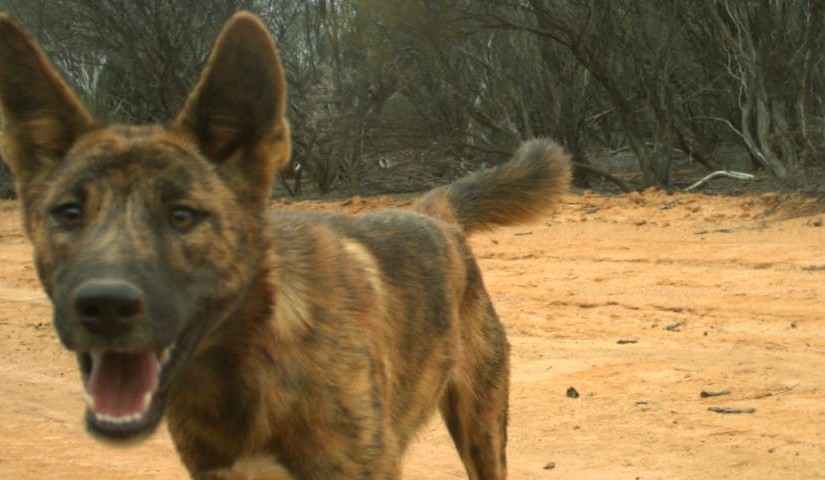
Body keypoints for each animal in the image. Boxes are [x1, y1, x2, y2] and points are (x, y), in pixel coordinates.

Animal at [0, 11, 569, 480]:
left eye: (183, 215)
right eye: (69, 214)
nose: (104, 306)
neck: (246, 362)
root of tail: (432, 213)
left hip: (480, 427)